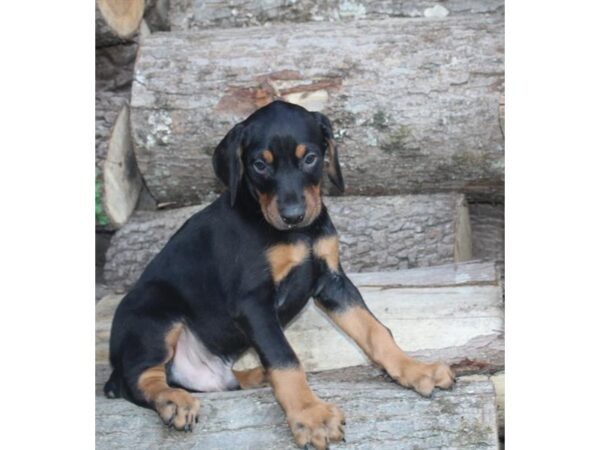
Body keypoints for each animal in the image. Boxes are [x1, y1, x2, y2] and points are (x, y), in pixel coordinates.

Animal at [104, 100, 454, 448]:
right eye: (260, 164)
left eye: (310, 158)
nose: (293, 216)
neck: (297, 235)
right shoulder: (253, 302)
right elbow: (284, 358)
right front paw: (310, 415)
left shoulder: (333, 283)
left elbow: (375, 331)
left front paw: (415, 369)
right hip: (155, 313)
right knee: (137, 380)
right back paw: (172, 400)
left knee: (218, 381)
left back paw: (255, 376)